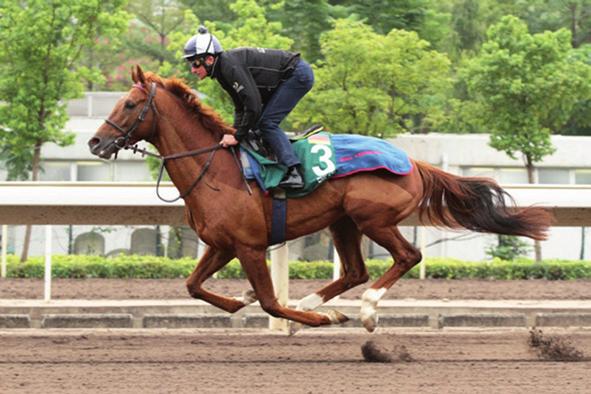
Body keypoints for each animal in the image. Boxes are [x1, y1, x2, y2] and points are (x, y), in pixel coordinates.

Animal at [89, 67, 556, 332]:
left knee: (407, 257)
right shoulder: (223, 244)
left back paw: (364, 311)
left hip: (372, 219)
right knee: (355, 271)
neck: (215, 169)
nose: (95, 142)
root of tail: (412, 161)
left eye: (129, 104)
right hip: (341, 221)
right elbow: (193, 286)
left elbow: (273, 304)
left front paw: (311, 318)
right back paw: (316, 301)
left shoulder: (249, 246)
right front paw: (243, 299)